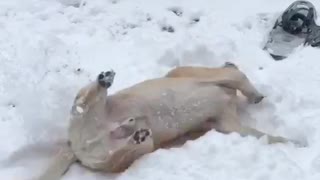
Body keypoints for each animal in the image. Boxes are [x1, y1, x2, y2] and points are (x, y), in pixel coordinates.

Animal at [37, 62, 300, 180]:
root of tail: (75, 146)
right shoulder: (216, 77)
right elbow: (239, 75)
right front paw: (256, 95)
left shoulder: (227, 124)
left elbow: (265, 136)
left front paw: (293, 143)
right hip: (93, 110)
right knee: (84, 100)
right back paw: (103, 83)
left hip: (135, 150)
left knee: (119, 150)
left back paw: (132, 131)